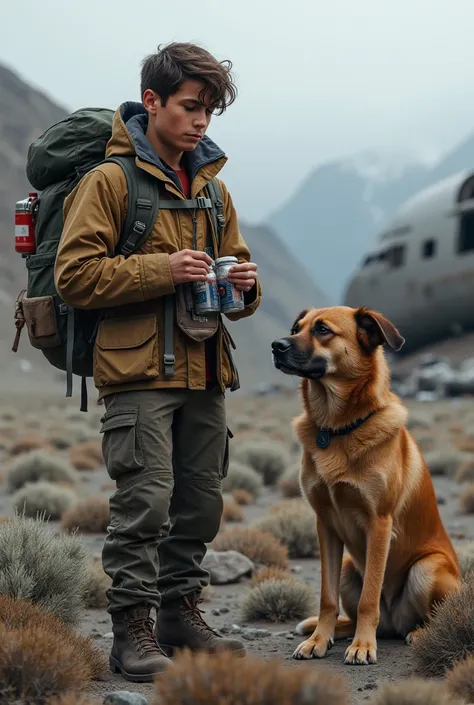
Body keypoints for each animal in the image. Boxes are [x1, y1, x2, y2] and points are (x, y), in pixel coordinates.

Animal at [272, 306, 462, 664]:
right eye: (296, 328)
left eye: (322, 330)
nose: (276, 346)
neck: (336, 429)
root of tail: (393, 622)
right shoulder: (325, 525)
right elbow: (327, 597)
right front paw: (319, 640)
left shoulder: (379, 523)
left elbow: (369, 597)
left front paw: (362, 646)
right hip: (349, 567)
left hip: (426, 568)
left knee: (432, 617)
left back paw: (417, 633)